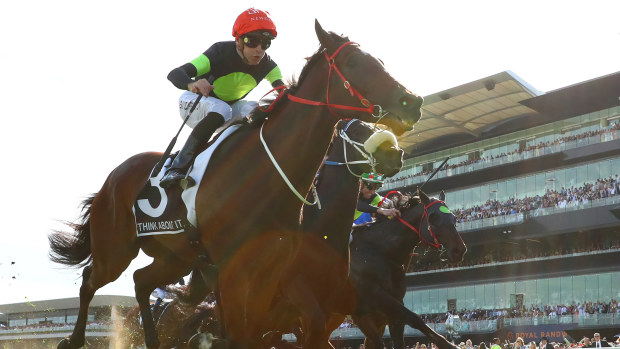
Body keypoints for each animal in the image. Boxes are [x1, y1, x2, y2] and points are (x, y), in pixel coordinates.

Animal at [48, 21, 422, 348]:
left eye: (380, 62)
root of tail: (114, 176)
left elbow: (262, 333)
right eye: (355, 62)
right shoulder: (233, 270)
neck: (264, 173)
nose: (413, 102)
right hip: (116, 249)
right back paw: (73, 339)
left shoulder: (272, 273)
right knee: (90, 279)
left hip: (176, 256)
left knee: (141, 281)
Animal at [348, 190, 464, 348]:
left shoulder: (391, 305)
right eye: (433, 218)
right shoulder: (373, 299)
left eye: (453, 217)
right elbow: (413, 318)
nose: (459, 250)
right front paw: (449, 344)